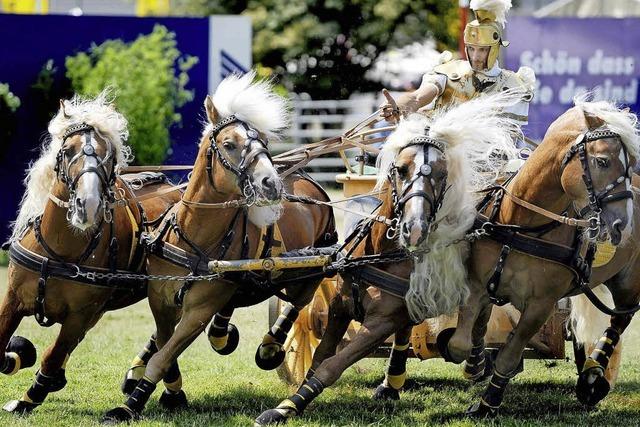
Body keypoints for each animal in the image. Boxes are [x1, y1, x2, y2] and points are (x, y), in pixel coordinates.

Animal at [0, 94, 180, 414]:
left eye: (108, 155)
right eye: (67, 151)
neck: (60, 250)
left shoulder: (80, 315)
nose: (89, 203)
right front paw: (18, 356)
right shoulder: (12, 298)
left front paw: (29, 397)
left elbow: (53, 354)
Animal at [104, 72, 336, 422]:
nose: (272, 183)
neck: (195, 235)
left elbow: (164, 355)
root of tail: (311, 184)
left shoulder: (199, 309)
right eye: (229, 144)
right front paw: (162, 390)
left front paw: (131, 405)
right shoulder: (160, 300)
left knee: (299, 303)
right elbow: (164, 346)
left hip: (311, 269)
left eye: (263, 144)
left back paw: (269, 346)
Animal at [252, 92, 524, 426]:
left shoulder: (381, 322)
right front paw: (292, 400)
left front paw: (286, 406)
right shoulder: (341, 305)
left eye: (442, 174)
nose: (415, 228)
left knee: (479, 314)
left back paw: (474, 363)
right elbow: (321, 355)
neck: (379, 254)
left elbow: (333, 364)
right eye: (401, 169)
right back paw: (394, 381)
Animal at [430, 98, 640, 416]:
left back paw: (593, 376)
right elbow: (461, 342)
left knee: (620, 319)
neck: (523, 224)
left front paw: (488, 403)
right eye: (603, 161)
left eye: (631, 166)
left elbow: (510, 353)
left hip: (629, 283)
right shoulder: (477, 284)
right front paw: (475, 364)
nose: (622, 225)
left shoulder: (541, 306)